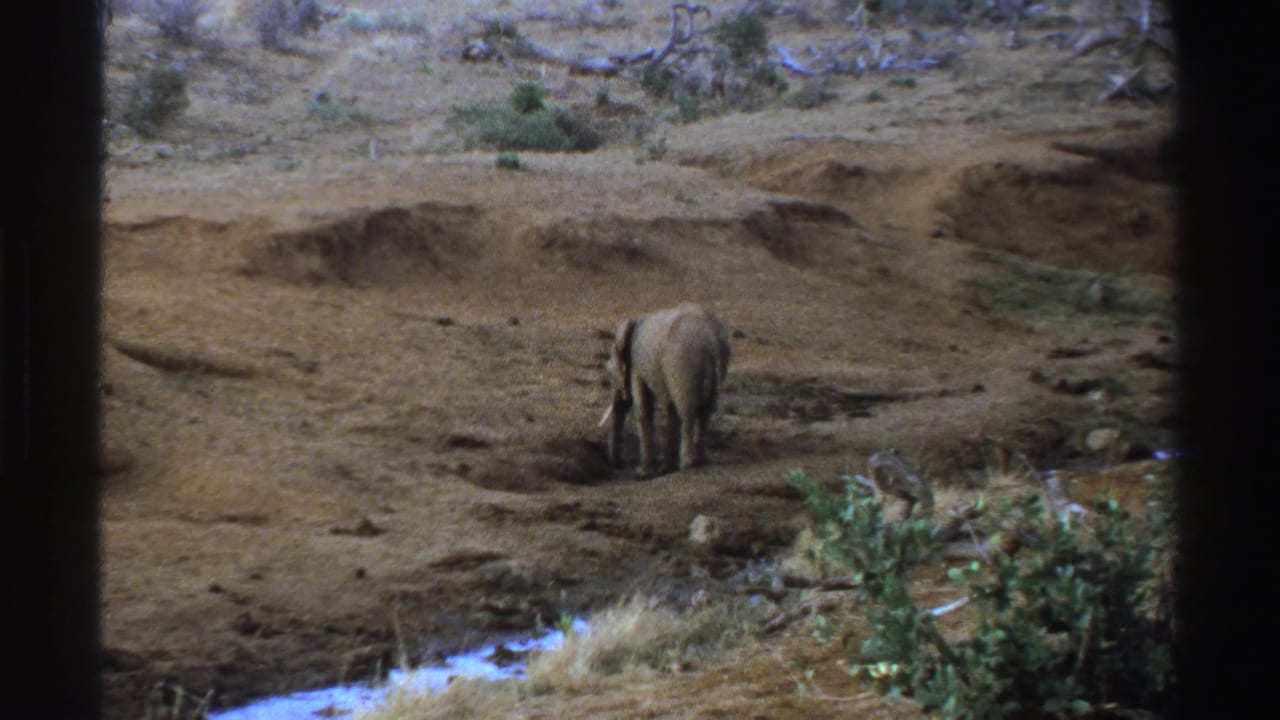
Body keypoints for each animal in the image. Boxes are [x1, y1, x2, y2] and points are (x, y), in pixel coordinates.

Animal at [600, 303, 730, 477]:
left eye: (609, 373)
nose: (619, 465)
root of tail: (711, 338)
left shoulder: (637, 365)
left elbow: (643, 407)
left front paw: (643, 473)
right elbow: (669, 409)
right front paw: (666, 469)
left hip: (682, 361)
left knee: (687, 409)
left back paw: (688, 463)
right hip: (711, 363)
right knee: (705, 411)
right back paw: (700, 460)